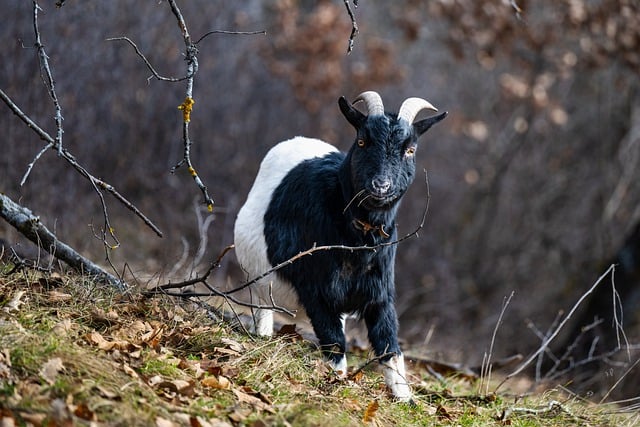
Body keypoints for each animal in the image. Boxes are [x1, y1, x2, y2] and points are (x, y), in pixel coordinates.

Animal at [232, 91, 448, 402]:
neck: (357, 244)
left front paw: (405, 399)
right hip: (257, 281)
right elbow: (335, 344)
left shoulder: (380, 296)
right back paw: (262, 336)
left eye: (410, 150)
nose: (380, 186)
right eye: (362, 141)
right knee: (262, 308)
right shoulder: (316, 291)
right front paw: (335, 386)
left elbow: (389, 346)